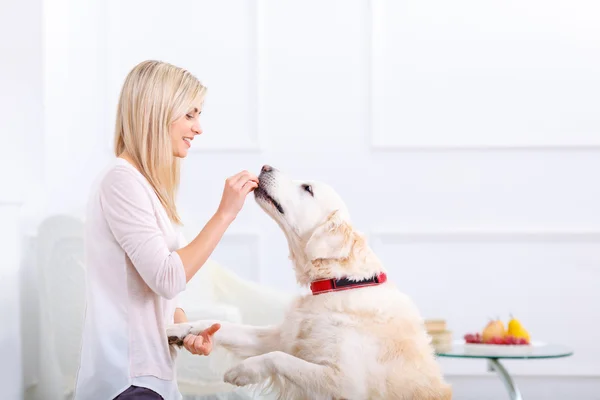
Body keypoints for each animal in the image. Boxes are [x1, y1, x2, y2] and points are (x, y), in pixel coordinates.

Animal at [166, 166, 452, 400]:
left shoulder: (345, 381)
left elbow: (277, 357)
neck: (338, 283)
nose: (265, 166)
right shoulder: (281, 336)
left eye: (307, 189)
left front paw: (242, 371)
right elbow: (224, 325)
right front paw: (178, 329)